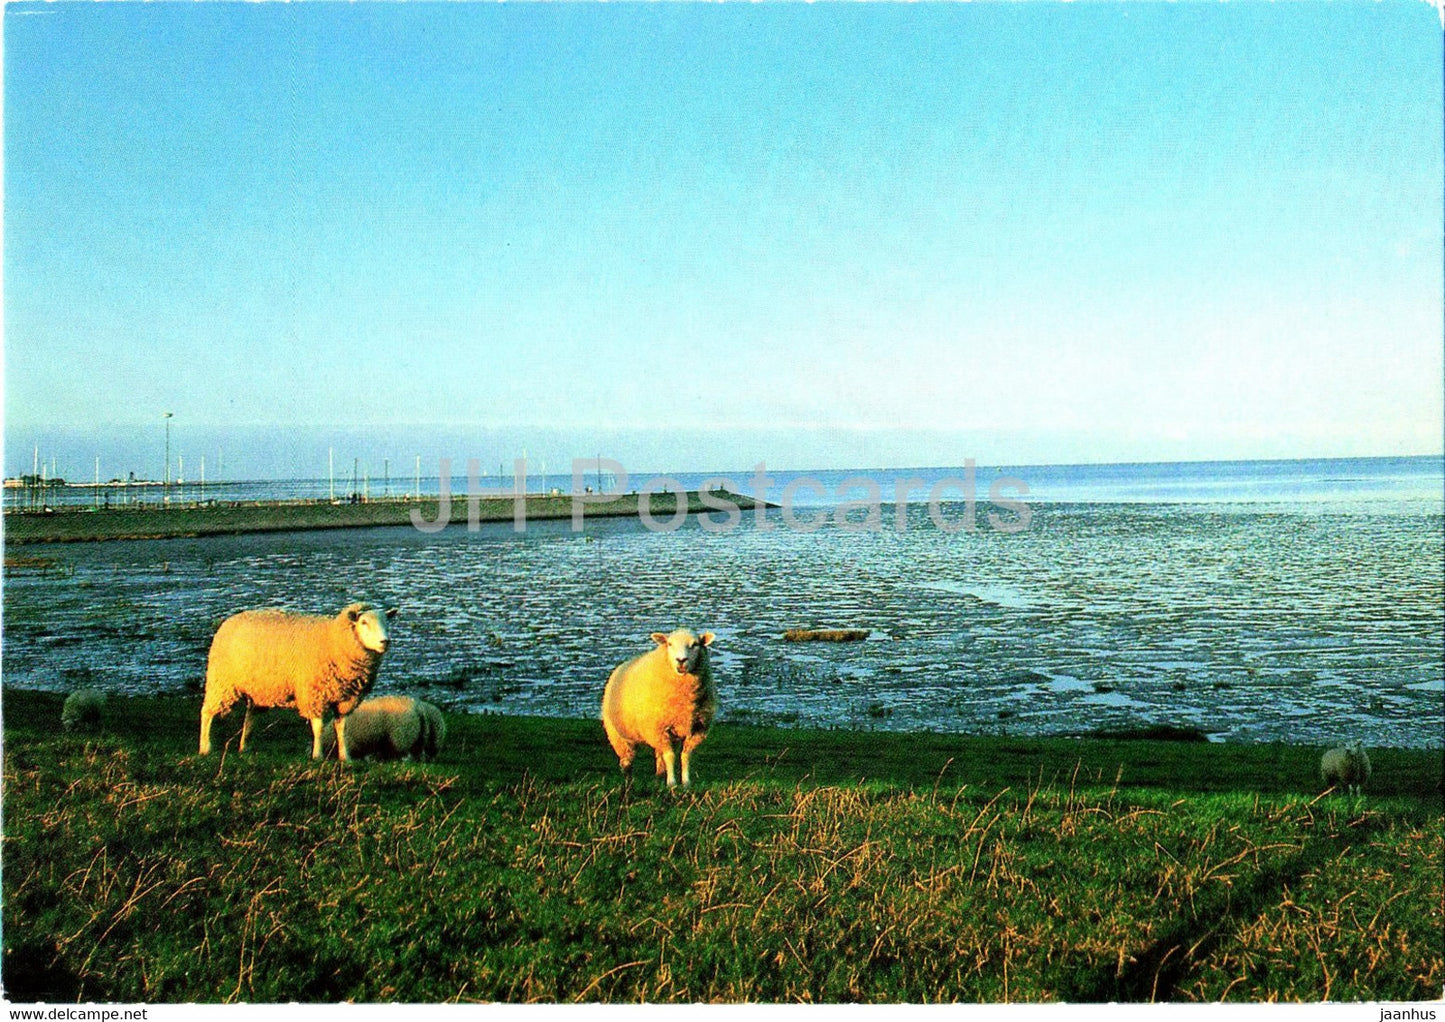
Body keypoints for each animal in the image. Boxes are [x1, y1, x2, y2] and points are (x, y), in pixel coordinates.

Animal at [198, 602, 397, 760]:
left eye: (386, 622)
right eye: (364, 622)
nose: (385, 641)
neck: (333, 640)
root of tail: (227, 622)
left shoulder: (345, 699)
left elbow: (342, 728)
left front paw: (345, 757)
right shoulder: (314, 694)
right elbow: (318, 727)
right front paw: (317, 756)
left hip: (258, 689)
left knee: (250, 716)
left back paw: (244, 747)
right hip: (222, 682)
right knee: (207, 712)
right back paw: (205, 748)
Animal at [601, 628, 716, 788]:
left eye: (695, 644)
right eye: (669, 644)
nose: (681, 660)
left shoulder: (697, 730)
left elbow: (685, 756)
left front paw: (686, 782)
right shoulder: (659, 729)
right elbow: (670, 756)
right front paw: (672, 783)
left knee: (659, 757)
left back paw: (659, 778)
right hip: (619, 736)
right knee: (627, 761)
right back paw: (628, 782)